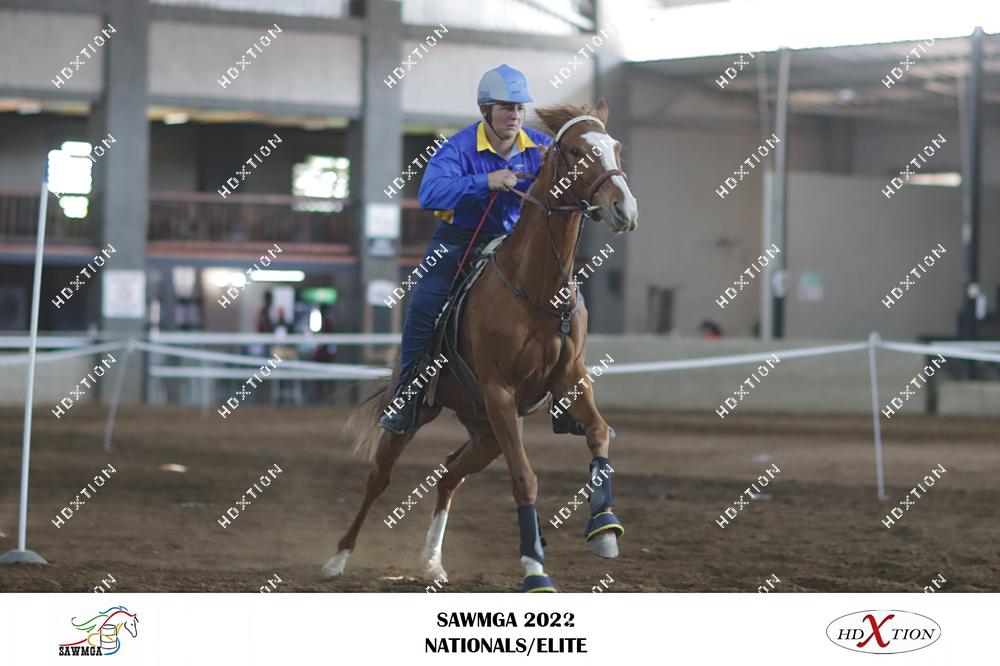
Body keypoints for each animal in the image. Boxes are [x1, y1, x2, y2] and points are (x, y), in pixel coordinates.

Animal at [323, 98, 638, 591]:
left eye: (616, 148)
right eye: (573, 150)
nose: (624, 206)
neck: (536, 288)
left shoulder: (570, 380)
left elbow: (599, 433)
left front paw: (604, 530)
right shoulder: (500, 393)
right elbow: (525, 478)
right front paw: (534, 568)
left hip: (485, 432)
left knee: (449, 476)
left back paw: (432, 562)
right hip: (424, 416)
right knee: (379, 478)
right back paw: (339, 557)